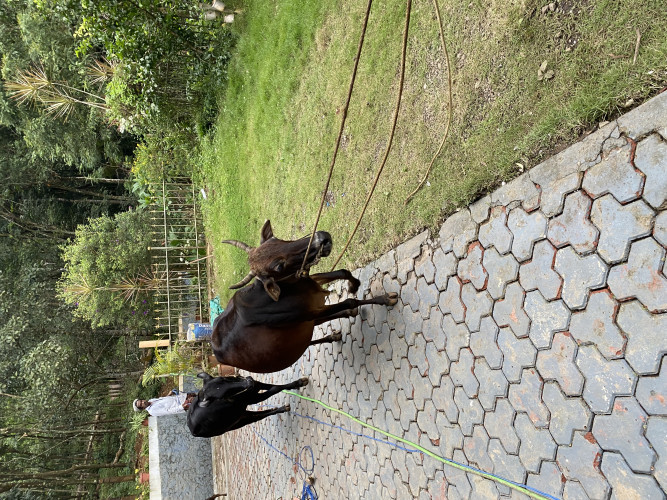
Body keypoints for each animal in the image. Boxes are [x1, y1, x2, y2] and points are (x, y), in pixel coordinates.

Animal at [212, 220, 398, 373]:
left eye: (276, 240)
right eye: (279, 266)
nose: (322, 238)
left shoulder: (310, 282)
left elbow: (342, 272)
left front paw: (354, 285)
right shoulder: (309, 312)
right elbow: (349, 301)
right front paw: (385, 298)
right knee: (312, 340)